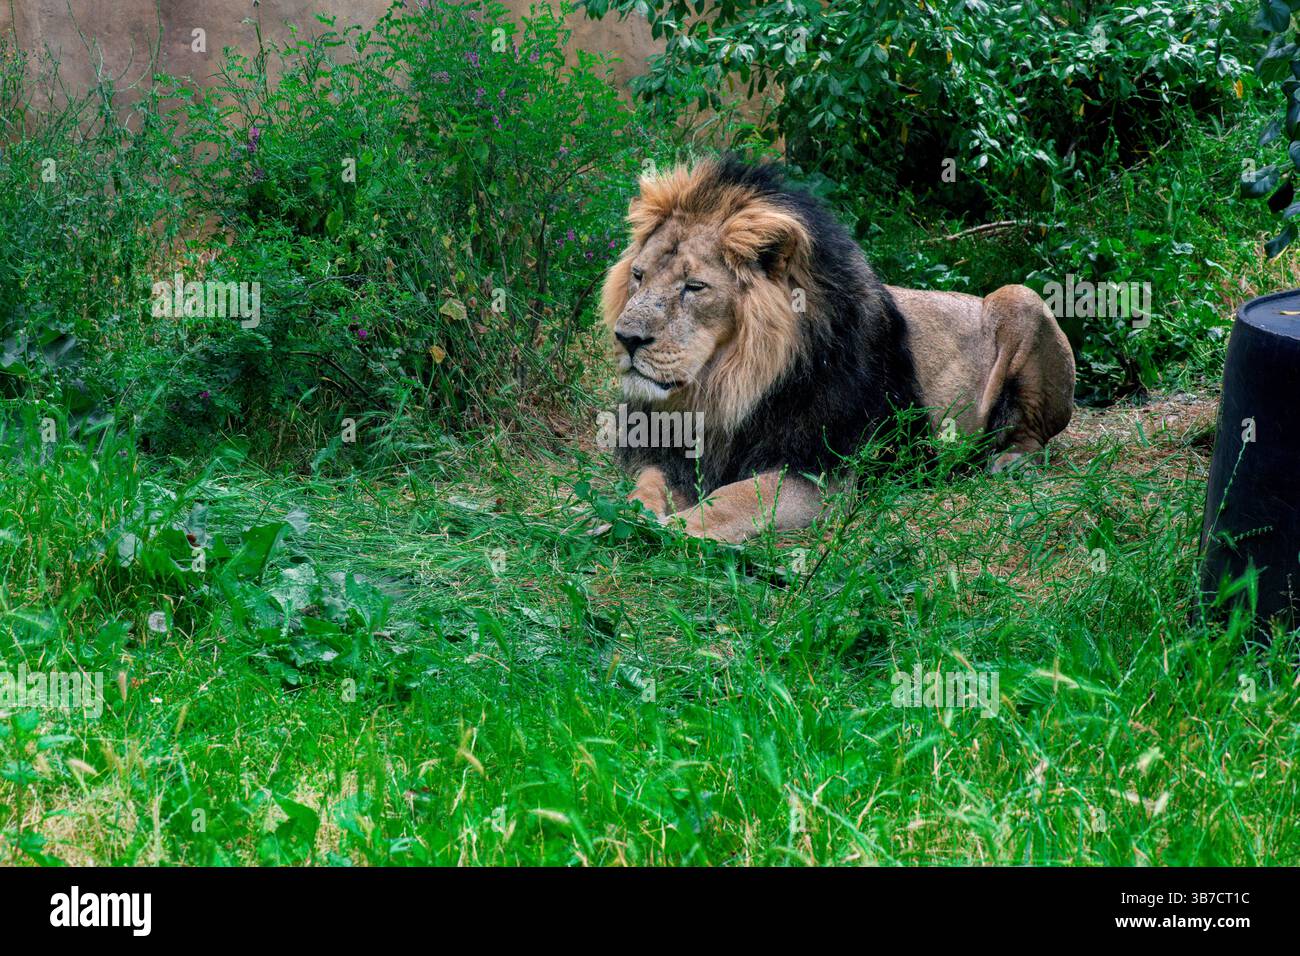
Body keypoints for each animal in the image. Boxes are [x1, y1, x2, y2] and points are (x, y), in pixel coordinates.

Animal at [600, 157, 1075, 543]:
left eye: (694, 287)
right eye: (639, 276)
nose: (627, 338)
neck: (727, 385)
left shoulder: (820, 473)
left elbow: (736, 498)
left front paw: (668, 530)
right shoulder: (672, 455)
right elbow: (646, 486)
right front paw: (614, 516)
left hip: (1023, 299)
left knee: (1035, 435)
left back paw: (1008, 461)